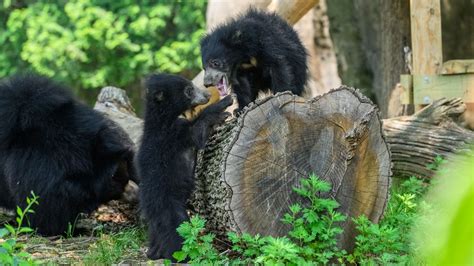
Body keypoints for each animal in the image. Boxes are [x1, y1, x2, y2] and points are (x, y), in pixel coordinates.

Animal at [136, 74, 232, 260]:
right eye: (189, 90)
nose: (208, 95)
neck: (164, 118)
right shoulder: (173, 134)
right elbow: (197, 133)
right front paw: (224, 106)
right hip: (169, 206)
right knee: (177, 230)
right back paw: (182, 255)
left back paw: (154, 252)